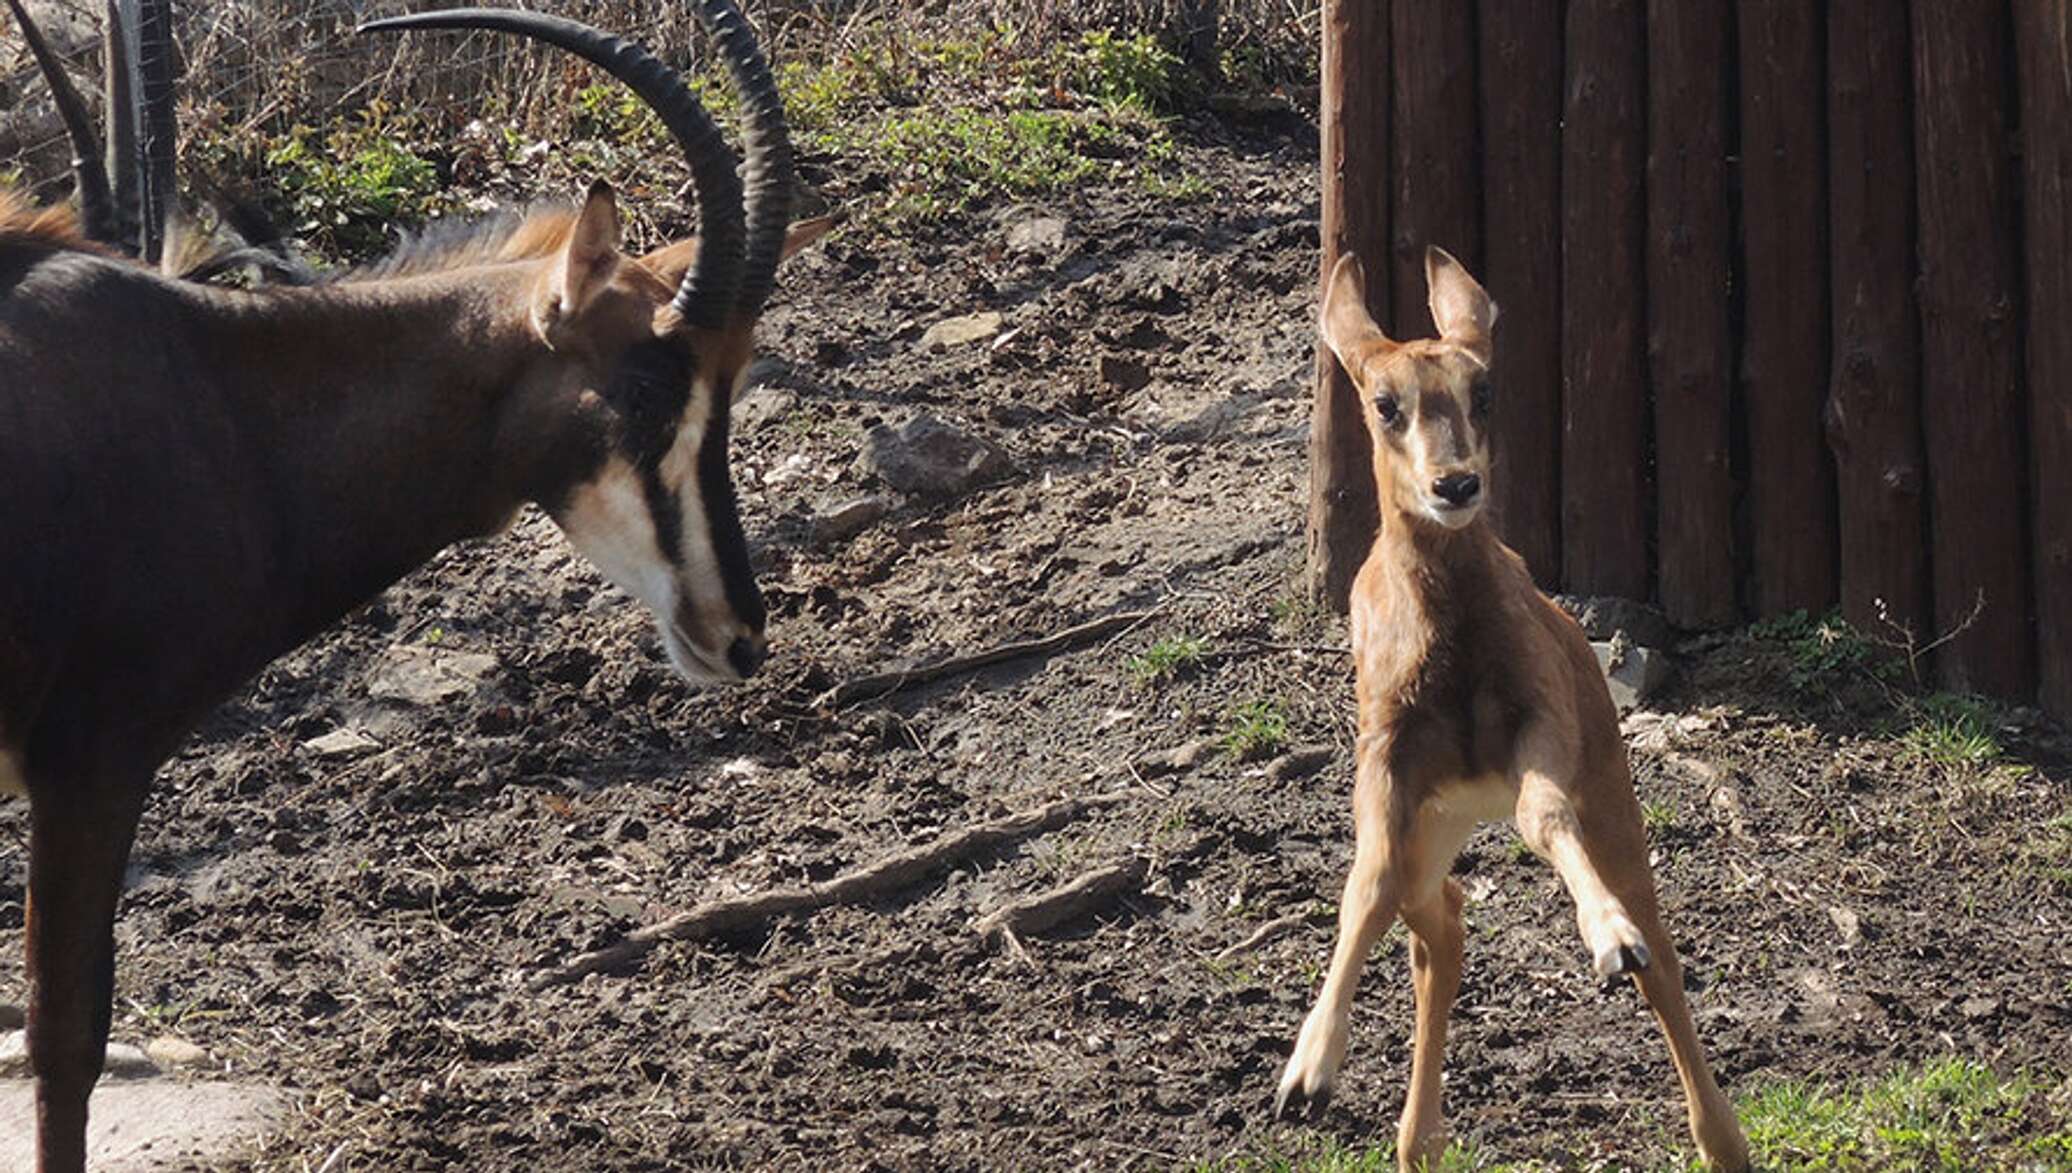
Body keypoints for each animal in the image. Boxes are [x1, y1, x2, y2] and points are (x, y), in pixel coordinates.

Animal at [1276, 245, 1748, 1168]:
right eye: (1385, 403)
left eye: (1483, 389)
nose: (1456, 483)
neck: (1453, 648)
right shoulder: (1385, 758)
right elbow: (1365, 881)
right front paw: (1307, 1072)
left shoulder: (1542, 725)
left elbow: (1544, 816)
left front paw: (1609, 942)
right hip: (1433, 827)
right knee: (1437, 922)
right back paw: (1416, 1138)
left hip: (1605, 790)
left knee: (1659, 952)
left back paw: (1720, 1136)